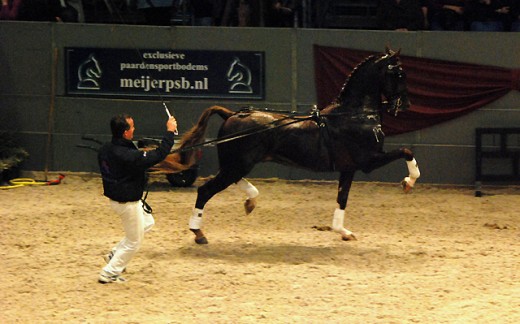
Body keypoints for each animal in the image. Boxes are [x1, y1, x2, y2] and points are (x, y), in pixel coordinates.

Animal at [177, 46, 420, 242]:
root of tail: (231, 114)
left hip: (236, 165)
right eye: (399, 73)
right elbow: (406, 151)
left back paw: (250, 201)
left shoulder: (349, 168)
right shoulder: (368, 161)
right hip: (236, 165)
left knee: (232, 182)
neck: (354, 114)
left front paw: (342, 232)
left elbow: (342, 198)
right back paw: (198, 232)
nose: (406, 105)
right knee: (205, 190)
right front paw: (408, 182)